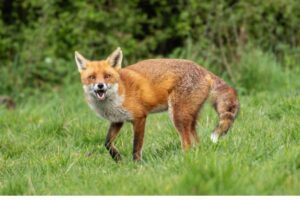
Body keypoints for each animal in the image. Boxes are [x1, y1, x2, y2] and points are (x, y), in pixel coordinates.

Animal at [75, 47, 239, 162]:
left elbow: (136, 147)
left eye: (107, 76)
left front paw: (136, 166)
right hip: (189, 119)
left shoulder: (140, 118)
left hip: (178, 117)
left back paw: (184, 162)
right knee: (197, 143)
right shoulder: (117, 120)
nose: (100, 86)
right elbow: (107, 143)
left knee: (187, 143)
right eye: (92, 77)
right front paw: (118, 159)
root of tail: (204, 70)